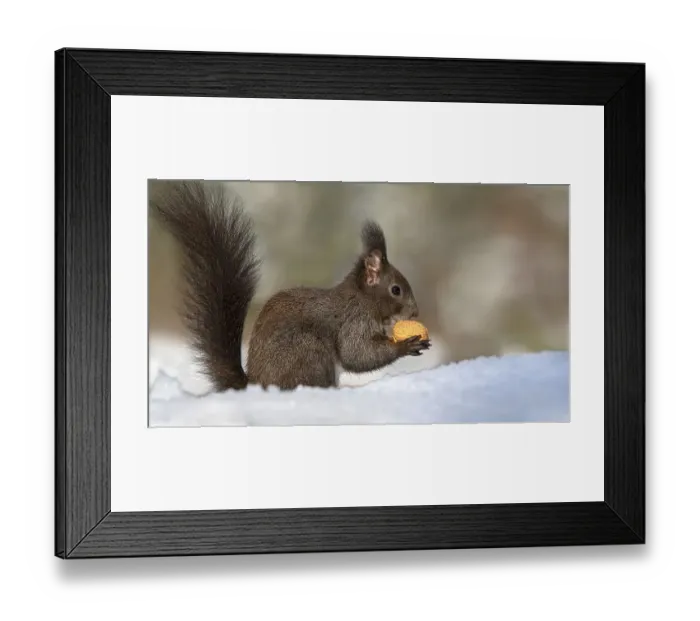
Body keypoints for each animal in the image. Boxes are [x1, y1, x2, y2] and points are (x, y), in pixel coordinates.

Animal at [150, 180, 431, 391]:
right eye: (396, 290)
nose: (415, 312)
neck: (363, 298)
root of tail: (258, 385)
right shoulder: (353, 321)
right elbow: (357, 353)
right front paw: (406, 345)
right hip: (309, 351)